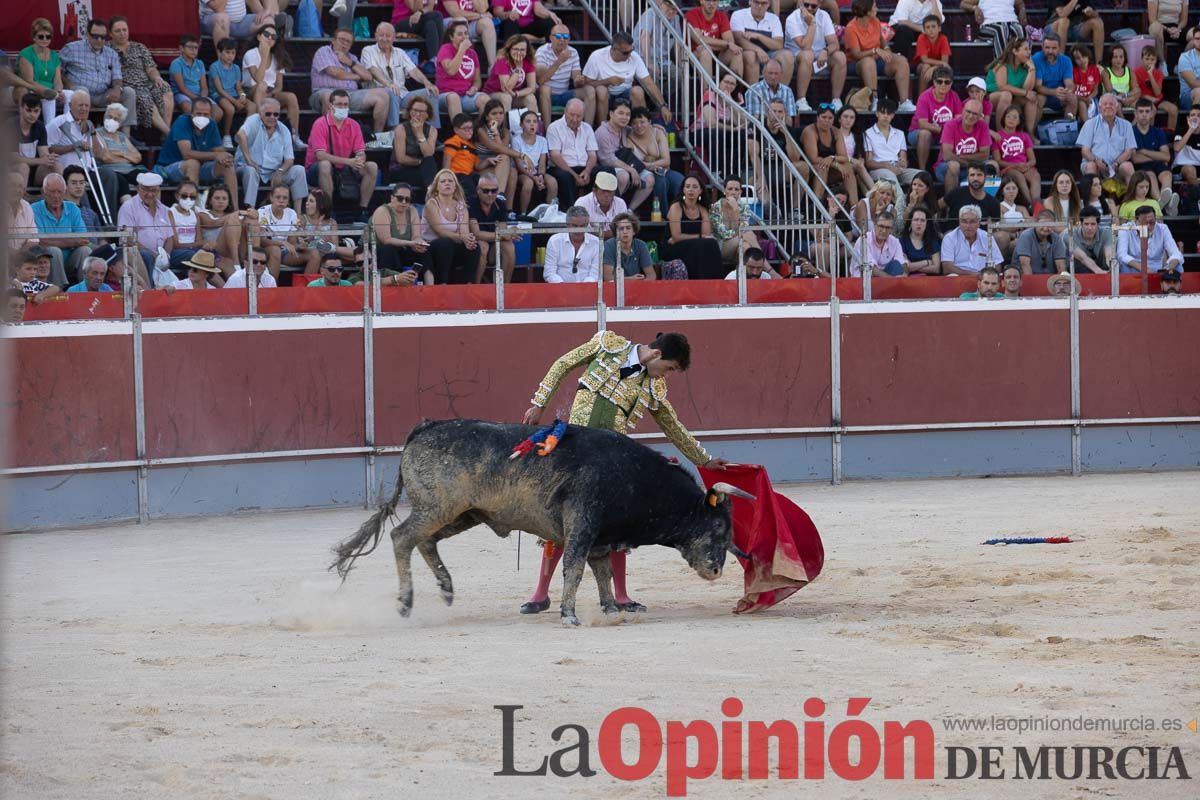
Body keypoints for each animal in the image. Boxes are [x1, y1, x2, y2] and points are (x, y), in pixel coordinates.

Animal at [328, 419, 753, 623]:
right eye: (719, 527)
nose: (716, 569)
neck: (633, 477)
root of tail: (427, 426)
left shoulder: (599, 535)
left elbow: (601, 571)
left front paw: (610, 609)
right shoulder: (582, 522)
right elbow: (575, 568)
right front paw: (569, 614)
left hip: (462, 514)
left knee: (425, 540)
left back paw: (446, 588)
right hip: (439, 507)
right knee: (402, 537)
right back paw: (406, 603)